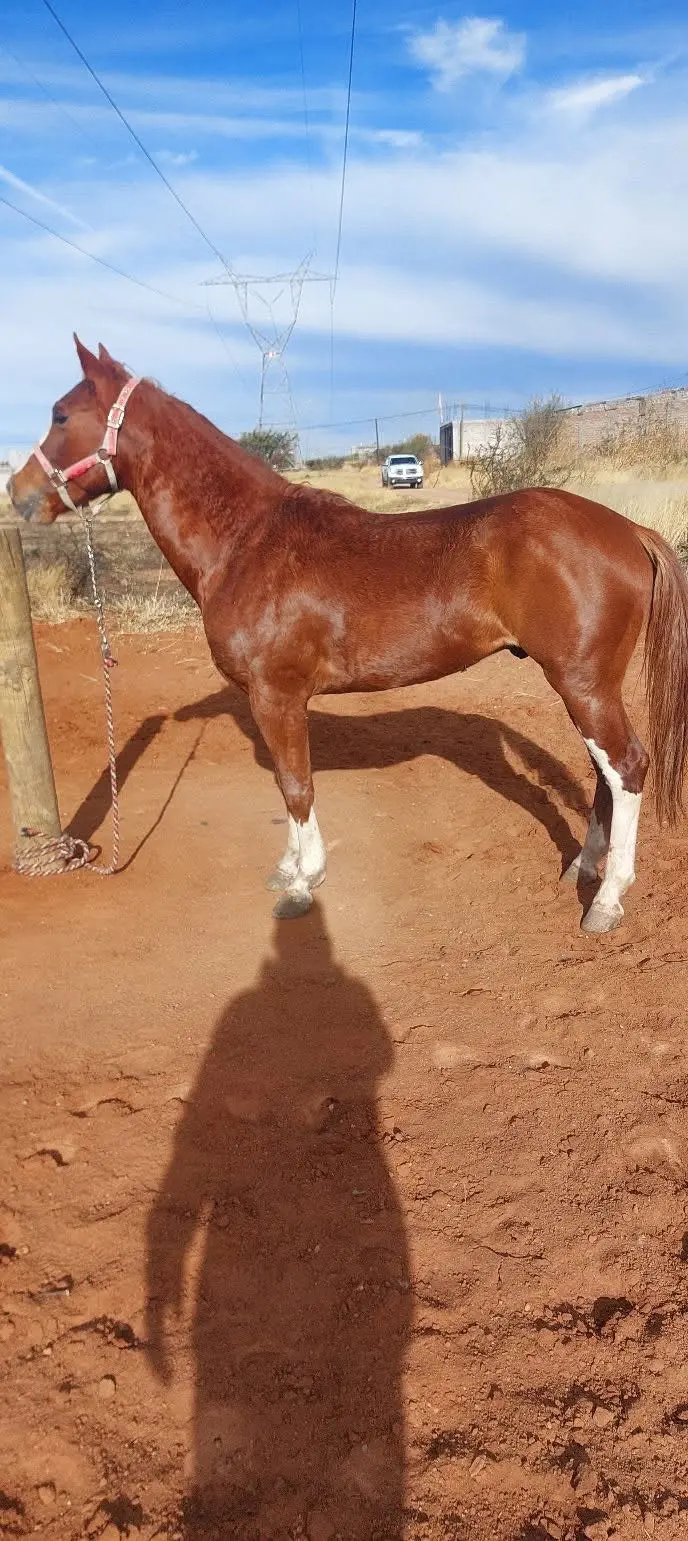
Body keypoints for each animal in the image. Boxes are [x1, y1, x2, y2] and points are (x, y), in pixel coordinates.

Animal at [9, 337, 688, 933]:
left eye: (61, 413)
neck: (246, 541)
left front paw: (303, 883)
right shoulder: (270, 702)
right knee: (604, 772)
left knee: (627, 767)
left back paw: (607, 900)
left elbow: (296, 785)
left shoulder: (277, 696)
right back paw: (583, 868)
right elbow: (285, 784)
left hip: (582, 682)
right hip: (584, 686)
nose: (18, 494)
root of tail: (626, 529)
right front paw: (288, 869)